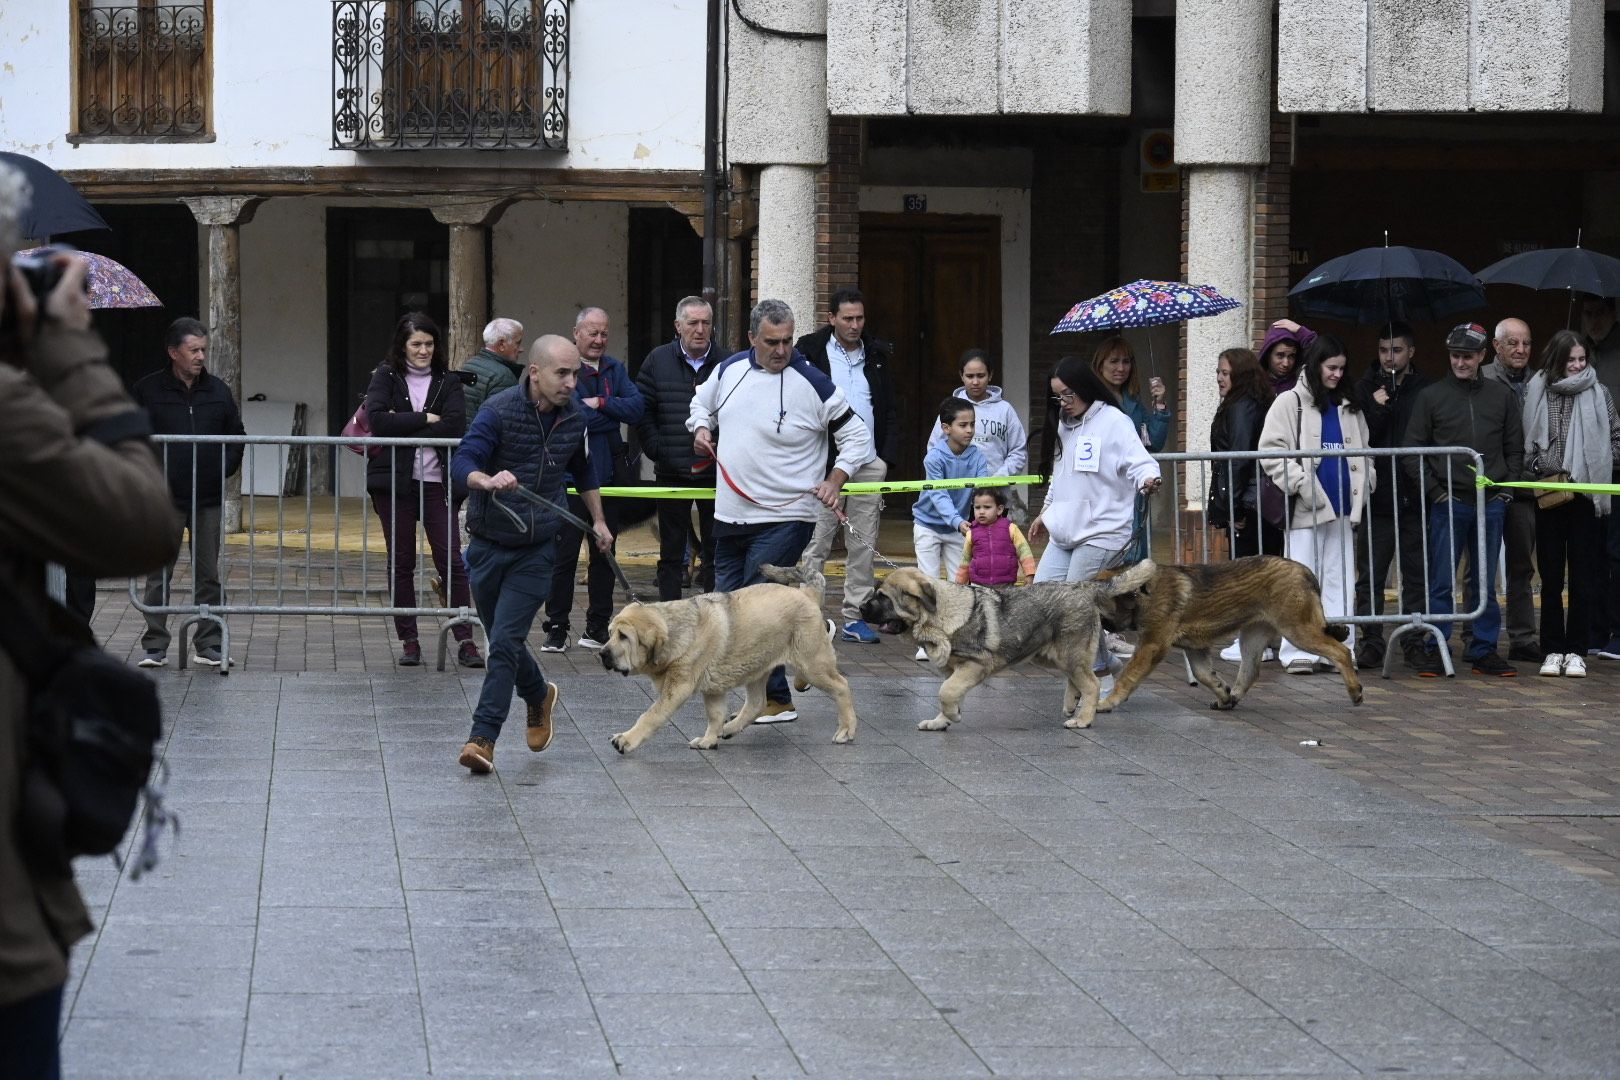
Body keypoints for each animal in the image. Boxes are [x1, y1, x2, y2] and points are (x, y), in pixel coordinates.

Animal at [855, 566, 1159, 735]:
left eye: (883, 598)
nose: (860, 607)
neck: (938, 617)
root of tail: (1083, 586)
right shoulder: (953, 669)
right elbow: (948, 693)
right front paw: (941, 721)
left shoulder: (975, 665)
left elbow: (947, 692)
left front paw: (951, 716)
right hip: (1051, 654)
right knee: (1080, 680)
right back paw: (1073, 704)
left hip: (1069, 652)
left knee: (1092, 683)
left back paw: (1083, 719)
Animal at [1088, 557, 1367, 718]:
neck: (1140, 593)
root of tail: (1305, 571)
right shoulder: (1194, 649)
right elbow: (1203, 675)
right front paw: (1223, 693)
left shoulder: (1151, 645)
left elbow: (1128, 676)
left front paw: (1108, 702)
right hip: (1253, 636)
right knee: (1250, 671)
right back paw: (1232, 698)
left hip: (1297, 630)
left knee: (1341, 651)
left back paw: (1355, 691)